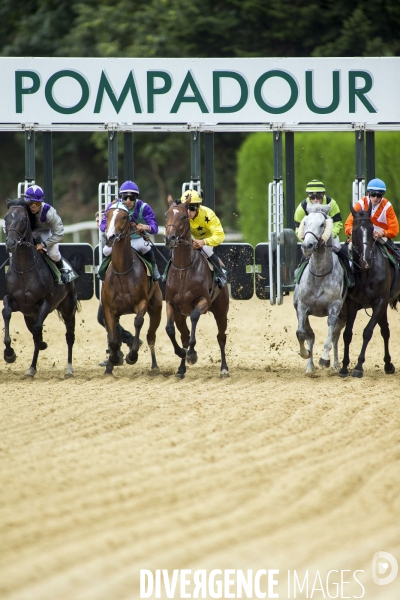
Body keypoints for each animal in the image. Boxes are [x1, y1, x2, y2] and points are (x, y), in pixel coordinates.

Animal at [2, 199, 79, 378]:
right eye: (6, 218)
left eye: (23, 219)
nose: (10, 244)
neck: (24, 270)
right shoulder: (13, 300)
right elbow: (7, 313)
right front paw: (9, 354)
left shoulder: (46, 302)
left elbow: (38, 330)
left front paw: (42, 342)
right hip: (28, 315)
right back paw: (31, 368)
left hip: (68, 308)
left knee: (69, 336)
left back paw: (69, 369)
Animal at [101, 202, 162, 376]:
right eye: (107, 215)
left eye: (123, 217)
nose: (110, 237)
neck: (122, 271)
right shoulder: (109, 308)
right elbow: (113, 338)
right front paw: (113, 360)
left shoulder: (142, 302)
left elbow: (138, 322)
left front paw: (132, 356)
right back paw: (109, 366)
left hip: (156, 308)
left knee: (151, 336)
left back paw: (154, 366)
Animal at [164, 200, 230, 380]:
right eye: (166, 215)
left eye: (183, 216)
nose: (170, 238)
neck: (184, 269)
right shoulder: (171, 304)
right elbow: (169, 329)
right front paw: (181, 353)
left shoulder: (203, 301)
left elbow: (194, 317)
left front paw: (192, 355)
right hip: (180, 316)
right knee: (184, 336)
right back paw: (181, 369)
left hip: (221, 311)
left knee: (221, 337)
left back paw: (224, 368)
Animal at [294, 206, 346, 376]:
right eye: (305, 222)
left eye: (323, 224)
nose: (307, 245)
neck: (319, 274)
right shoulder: (302, 306)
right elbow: (302, 333)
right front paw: (305, 354)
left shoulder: (335, 306)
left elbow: (330, 331)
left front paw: (324, 358)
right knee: (311, 335)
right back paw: (310, 367)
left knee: (336, 334)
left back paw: (335, 364)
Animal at [340, 204, 400, 378]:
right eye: (354, 230)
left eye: (372, 228)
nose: (366, 258)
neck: (366, 273)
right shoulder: (353, 303)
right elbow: (347, 334)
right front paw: (344, 366)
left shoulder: (380, 302)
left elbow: (367, 331)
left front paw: (358, 367)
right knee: (385, 331)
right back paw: (388, 365)